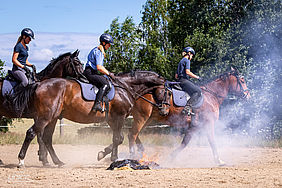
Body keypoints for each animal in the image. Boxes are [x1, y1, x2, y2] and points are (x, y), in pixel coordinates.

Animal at [16, 71, 165, 167]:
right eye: (166, 92)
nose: (163, 110)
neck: (125, 87)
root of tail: (39, 84)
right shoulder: (119, 116)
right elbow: (118, 138)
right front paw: (111, 157)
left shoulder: (112, 119)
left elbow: (118, 138)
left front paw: (104, 155)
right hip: (45, 117)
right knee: (31, 133)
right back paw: (21, 161)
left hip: (53, 118)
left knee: (47, 138)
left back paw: (58, 162)